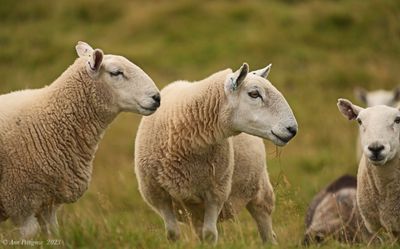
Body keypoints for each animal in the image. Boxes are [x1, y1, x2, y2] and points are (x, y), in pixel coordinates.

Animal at [134, 63, 296, 244]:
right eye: (254, 94)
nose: (292, 129)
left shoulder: (216, 193)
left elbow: (210, 234)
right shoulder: (157, 194)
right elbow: (173, 234)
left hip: (258, 188)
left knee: (265, 224)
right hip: (195, 209)